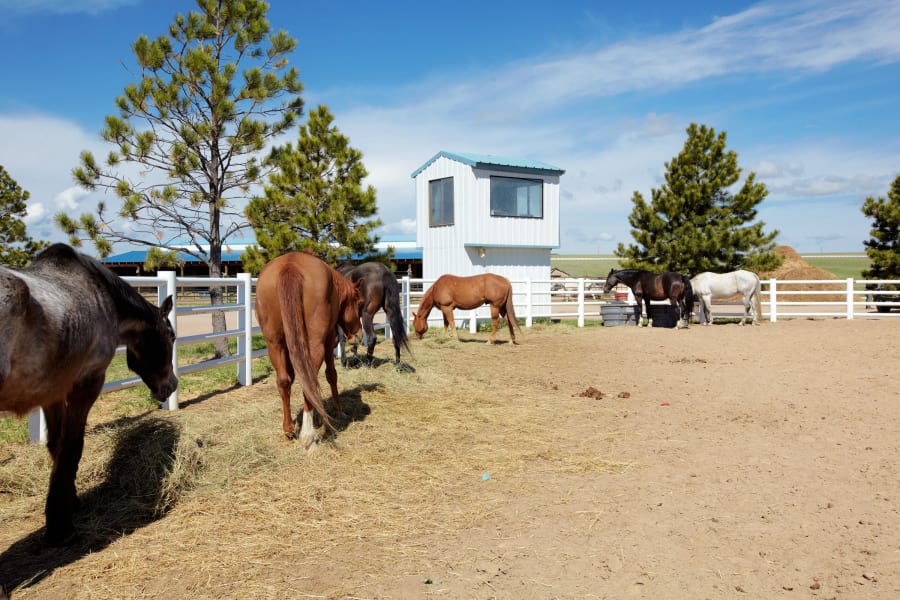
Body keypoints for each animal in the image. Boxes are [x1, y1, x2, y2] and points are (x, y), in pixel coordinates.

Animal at [0, 244, 178, 544]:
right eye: (171, 337)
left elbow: (57, 446)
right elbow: (72, 446)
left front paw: (68, 501)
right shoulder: (88, 381)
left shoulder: (53, 391)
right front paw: (59, 525)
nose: (172, 385)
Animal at [253, 251, 362, 448]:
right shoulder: (328, 340)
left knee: (284, 381)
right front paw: (338, 411)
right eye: (358, 302)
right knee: (308, 380)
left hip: (275, 344)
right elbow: (331, 375)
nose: (358, 335)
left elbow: (290, 379)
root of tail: (290, 266)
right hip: (314, 345)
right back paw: (308, 435)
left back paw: (288, 430)